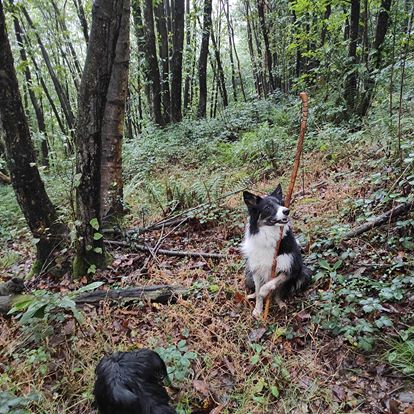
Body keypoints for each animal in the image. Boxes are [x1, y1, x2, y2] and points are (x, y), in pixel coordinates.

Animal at [241, 184, 311, 318]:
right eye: (267, 207)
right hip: (248, 275)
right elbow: (258, 290)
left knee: (279, 293)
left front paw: (264, 293)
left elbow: (270, 284)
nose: (286, 210)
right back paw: (251, 296)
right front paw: (258, 309)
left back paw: (281, 304)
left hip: (304, 274)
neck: (269, 236)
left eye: (280, 203)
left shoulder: (291, 268)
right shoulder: (256, 270)